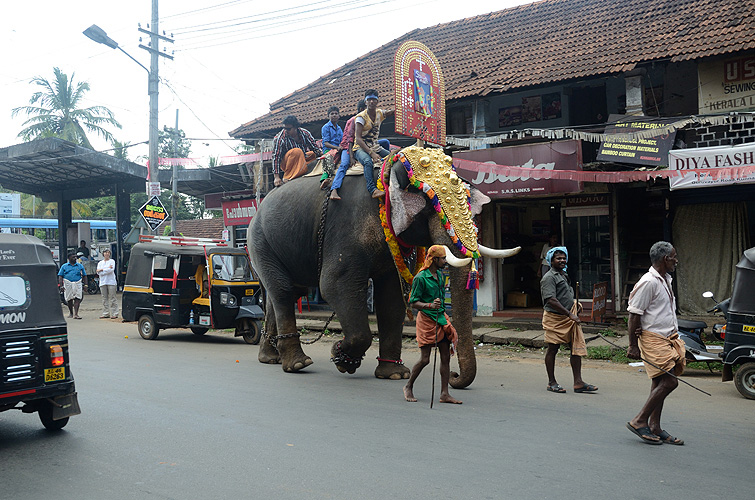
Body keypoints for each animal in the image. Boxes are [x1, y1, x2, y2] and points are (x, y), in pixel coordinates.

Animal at [248, 145, 520, 386]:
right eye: (431, 206)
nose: (454, 377)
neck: (386, 178)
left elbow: (391, 297)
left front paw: (394, 375)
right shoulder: (345, 228)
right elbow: (334, 285)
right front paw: (341, 357)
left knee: (281, 293)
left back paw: (271, 358)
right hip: (260, 241)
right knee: (283, 291)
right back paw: (298, 364)